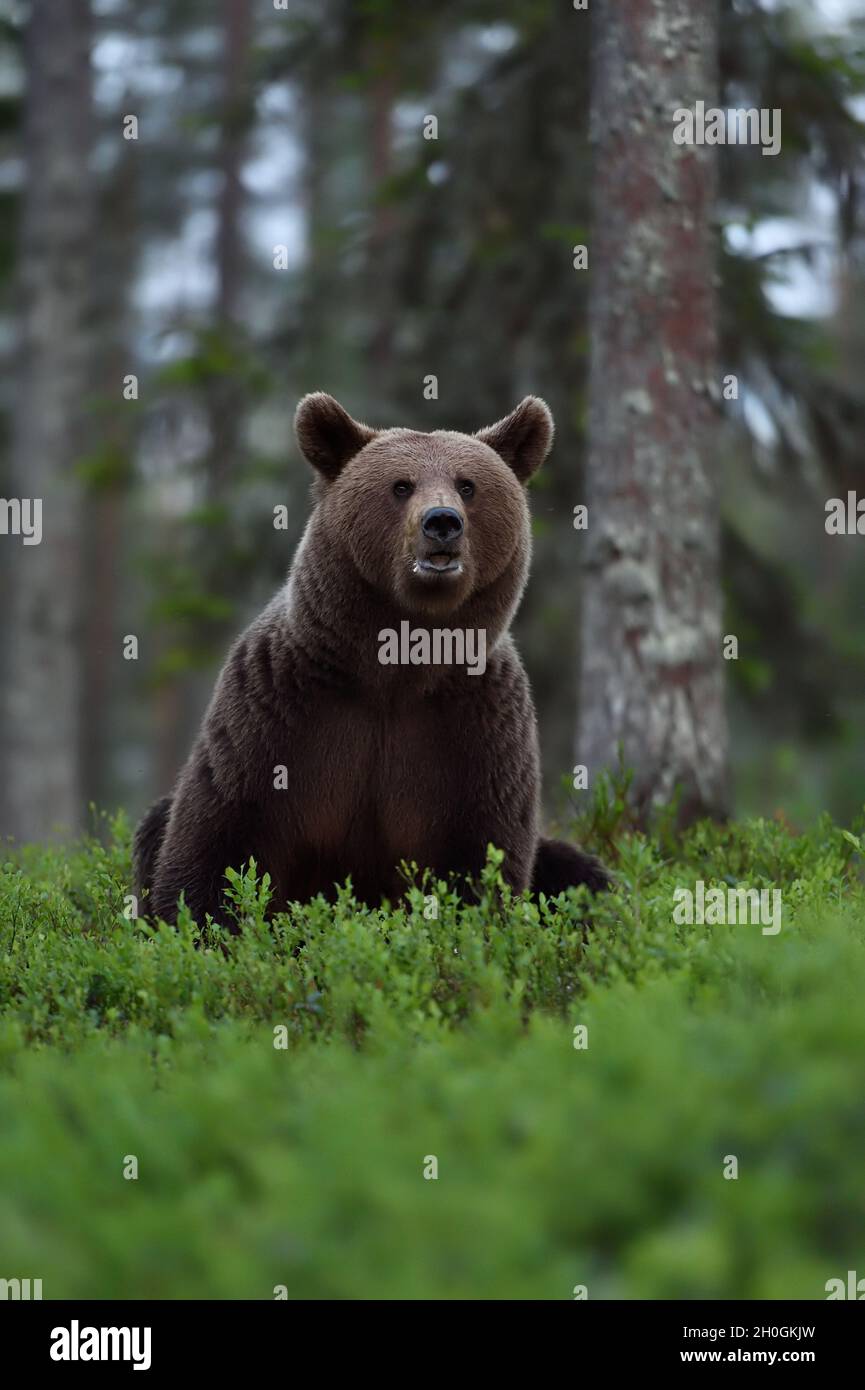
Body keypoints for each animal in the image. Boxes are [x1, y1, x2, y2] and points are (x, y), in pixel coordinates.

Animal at [134, 393, 609, 925]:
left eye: (467, 485)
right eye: (401, 485)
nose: (441, 522)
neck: (395, 666)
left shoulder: (477, 726)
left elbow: (486, 854)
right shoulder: (278, 708)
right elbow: (220, 838)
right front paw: (200, 924)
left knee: (580, 872)